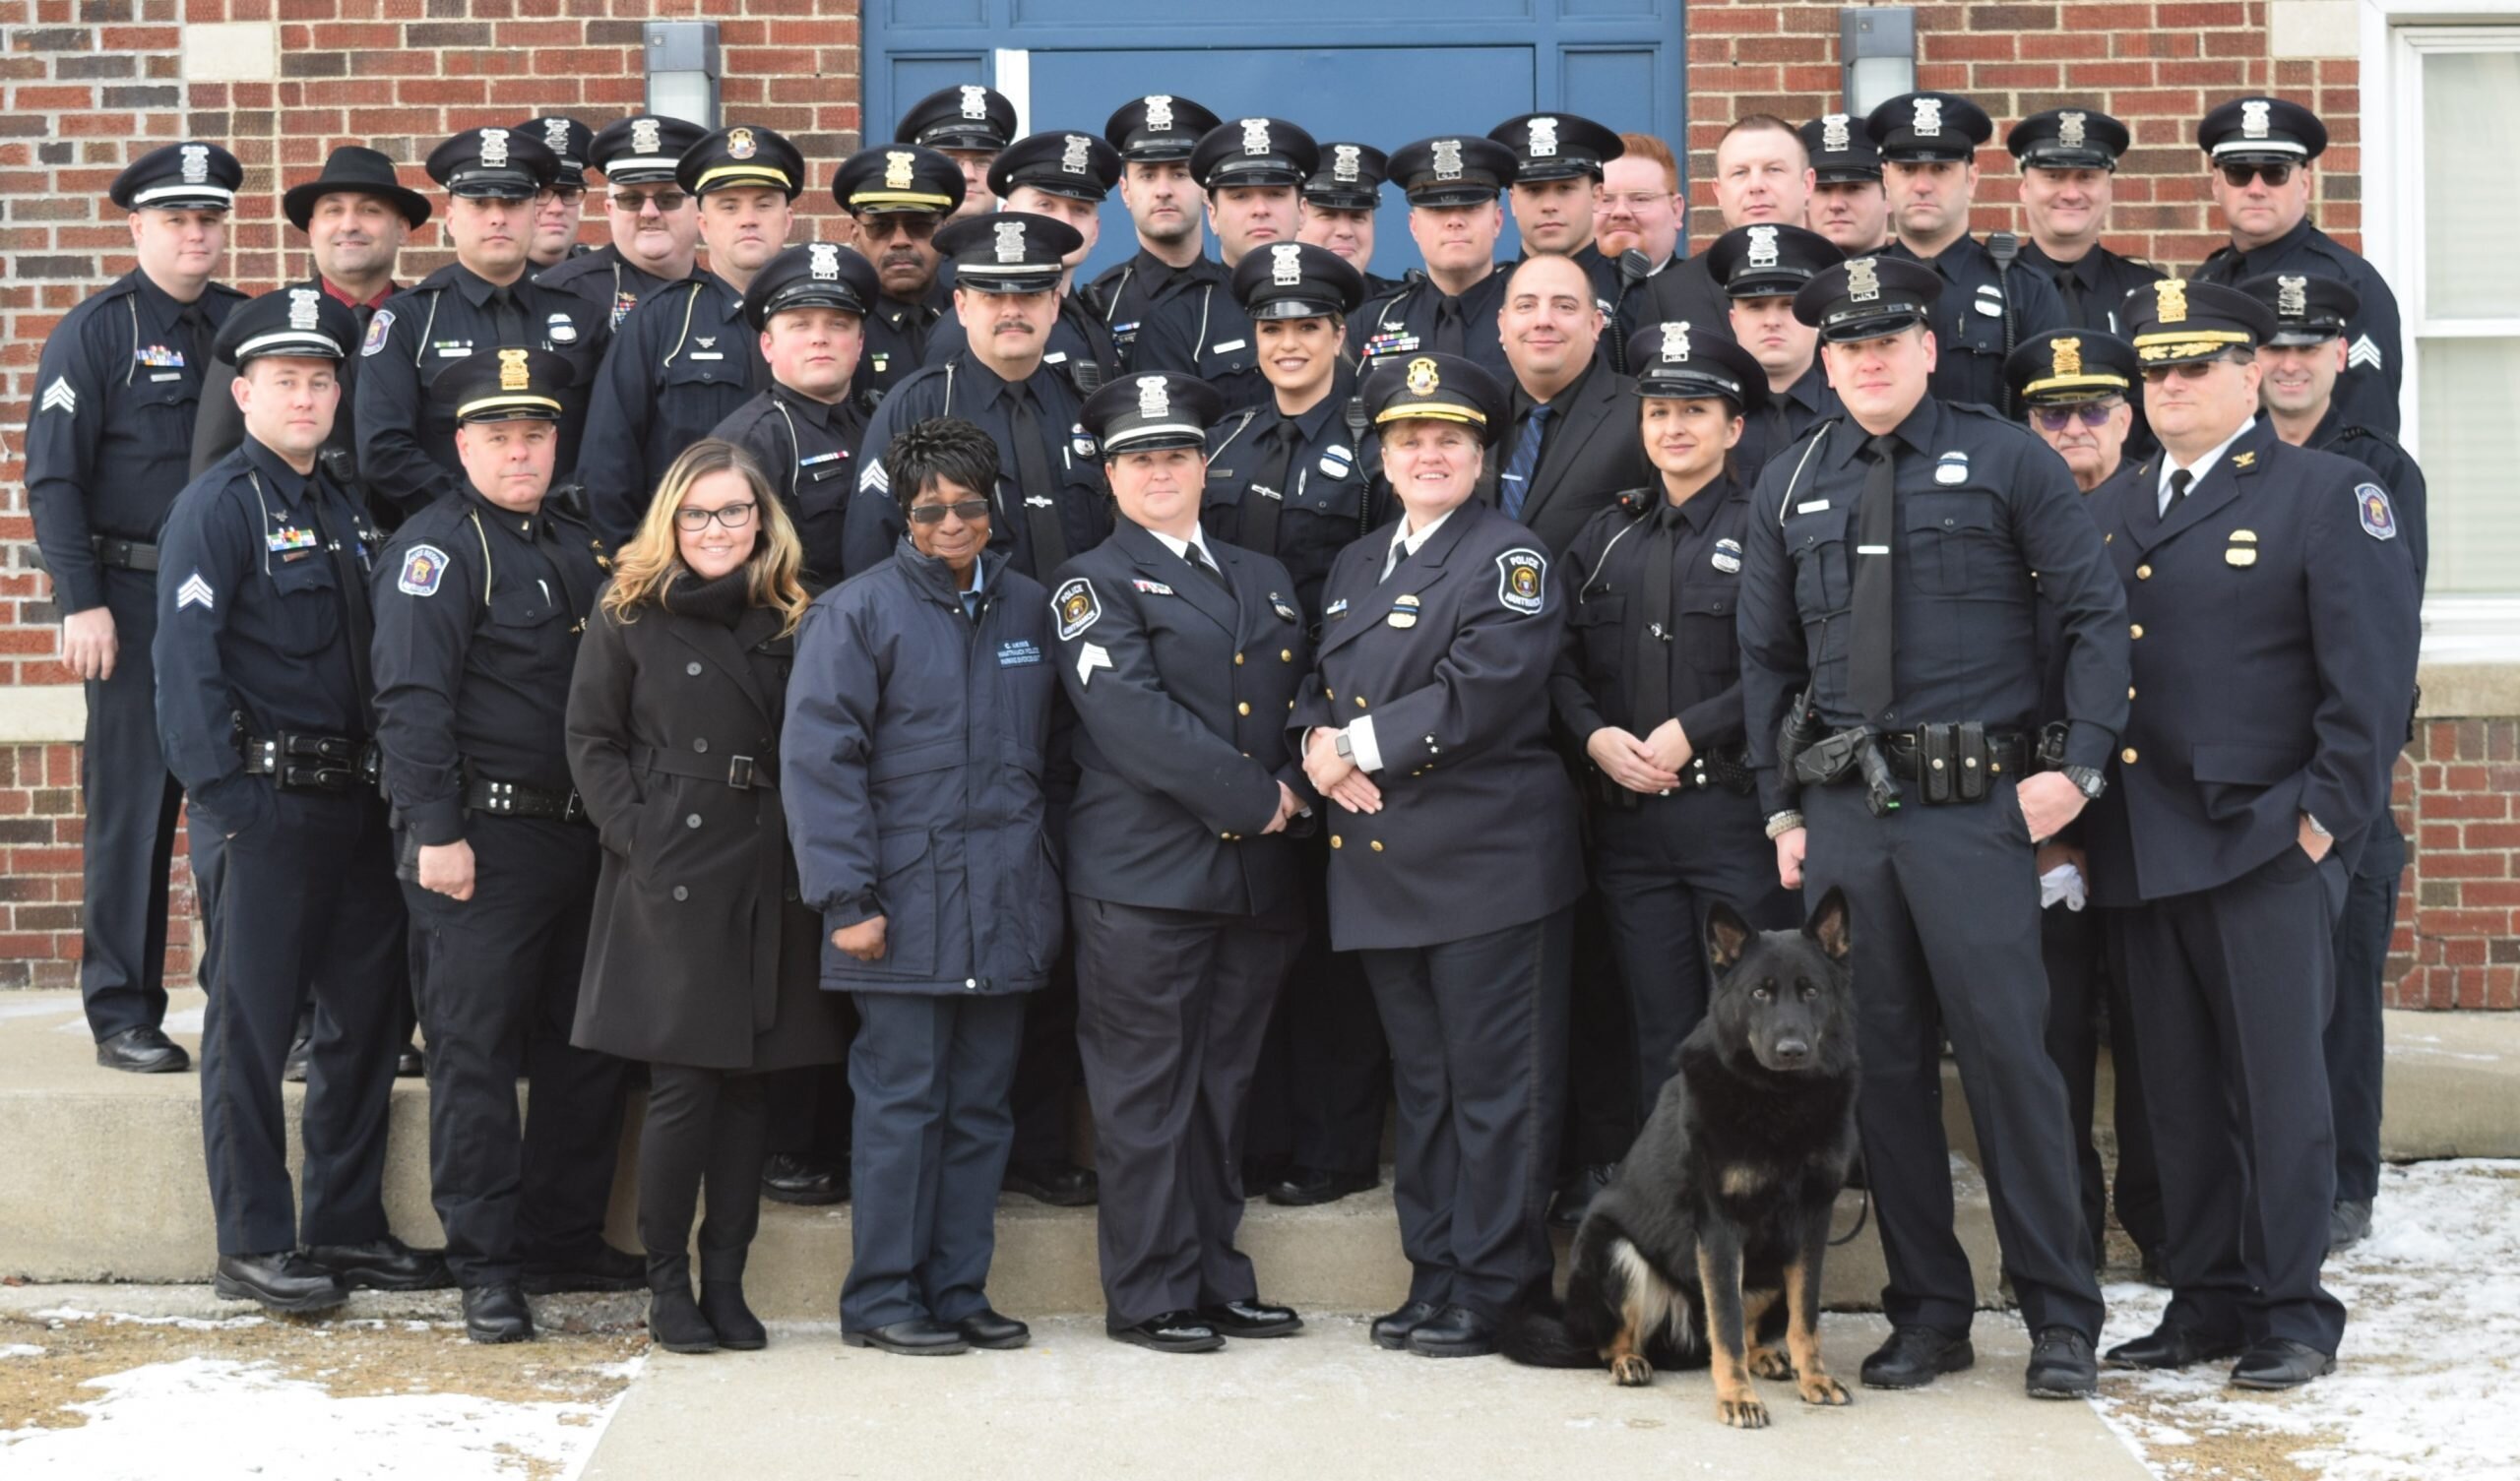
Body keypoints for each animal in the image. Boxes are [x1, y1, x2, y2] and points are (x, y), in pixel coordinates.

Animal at [1501, 886, 1864, 1430]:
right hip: (1613, 1249)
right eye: (1760, 993)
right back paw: (1629, 1360)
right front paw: (1737, 1397)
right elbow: (1727, 1326)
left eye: (1811, 992)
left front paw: (1813, 1378)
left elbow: (1805, 1319)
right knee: (1617, 1340)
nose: (1792, 1050)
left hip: (1767, 1267)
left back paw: (1765, 1356)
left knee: (1746, 1327)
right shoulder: (1719, 1228)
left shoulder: (1810, 1227)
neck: (1779, 1101)